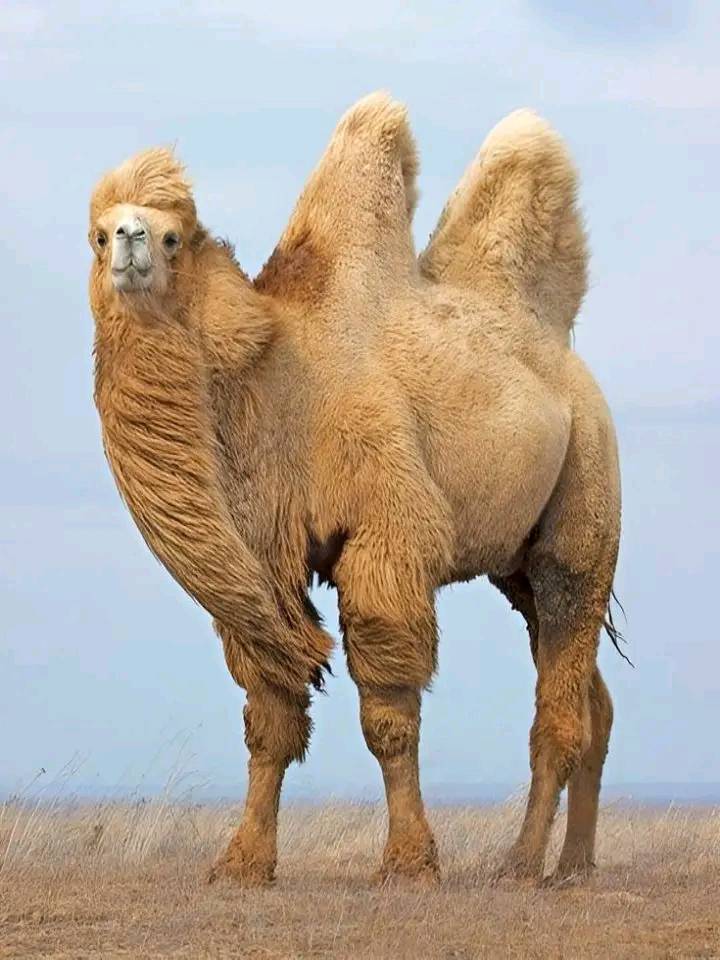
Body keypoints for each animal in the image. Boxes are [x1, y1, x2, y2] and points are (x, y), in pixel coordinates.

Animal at [88, 93, 620, 888]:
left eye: (173, 236)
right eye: (96, 235)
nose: (129, 240)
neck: (274, 383)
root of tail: (565, 358)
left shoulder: (386, 530)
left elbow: (388, 715)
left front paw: (408, 864)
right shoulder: (266, 560)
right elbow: (270, 716)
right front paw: (243, 864)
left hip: (586, 492)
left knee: (560, 684)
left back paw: (522, 864)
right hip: (515, 563)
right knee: (591, 696)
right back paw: (575, 866)